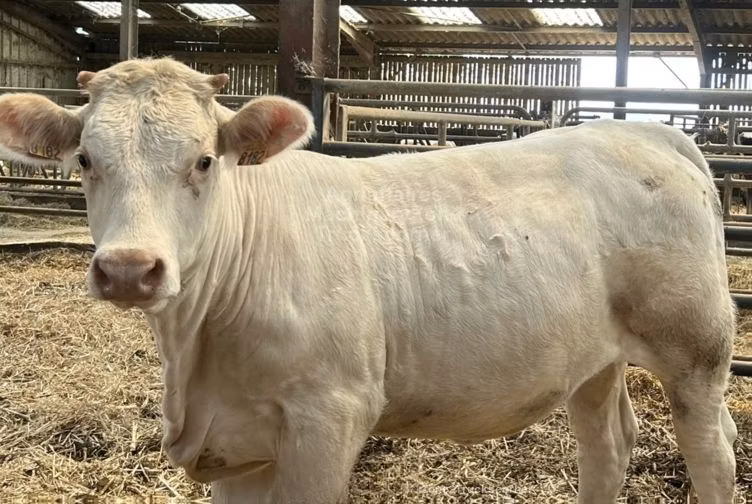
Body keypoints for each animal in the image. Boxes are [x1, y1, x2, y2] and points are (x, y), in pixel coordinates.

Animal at [0, 58, 737, 503]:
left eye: (205, 160)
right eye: (85, 159)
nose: (129, 268)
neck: (198, 359)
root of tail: (648, 131)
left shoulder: (329, 416)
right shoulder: (235, 447)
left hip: (696, 349)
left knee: (714, 452)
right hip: (593, 358)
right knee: (607, 447)